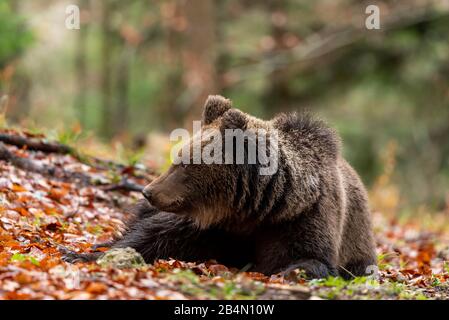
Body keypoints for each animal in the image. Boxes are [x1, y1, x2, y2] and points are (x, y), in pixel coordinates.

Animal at [63, 95, 376, 280]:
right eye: (177, 158)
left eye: (185, 164)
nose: (148, 192)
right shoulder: (209, 225)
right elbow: (154, 237)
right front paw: (83, 253)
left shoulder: (302, 218)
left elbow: (310, 258)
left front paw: (287, 273)